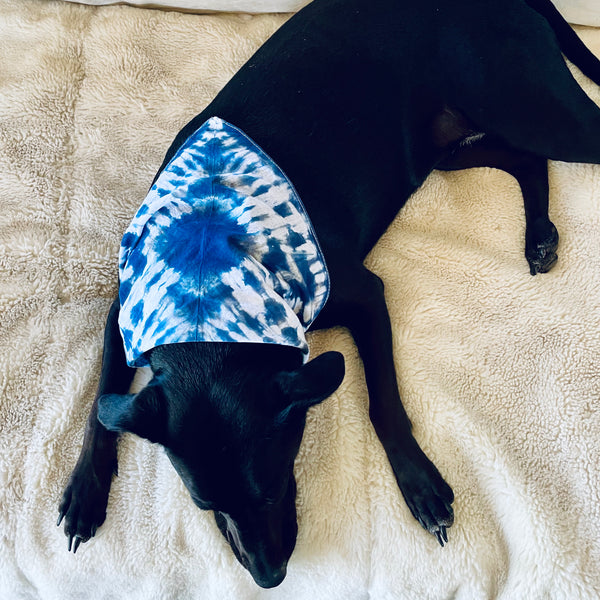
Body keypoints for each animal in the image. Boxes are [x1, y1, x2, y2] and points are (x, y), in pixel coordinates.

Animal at [58, 0, 600, 592]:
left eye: (273, 487)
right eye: (207, 507)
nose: (269, 579)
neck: (207, 288)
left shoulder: (365, 295)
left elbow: (383, 399)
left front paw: (418, 482)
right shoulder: (123, 311)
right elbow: (101, 400)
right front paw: (85, 489)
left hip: (529, 108)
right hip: (446, 146)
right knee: (525, 160)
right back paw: (539, 235)